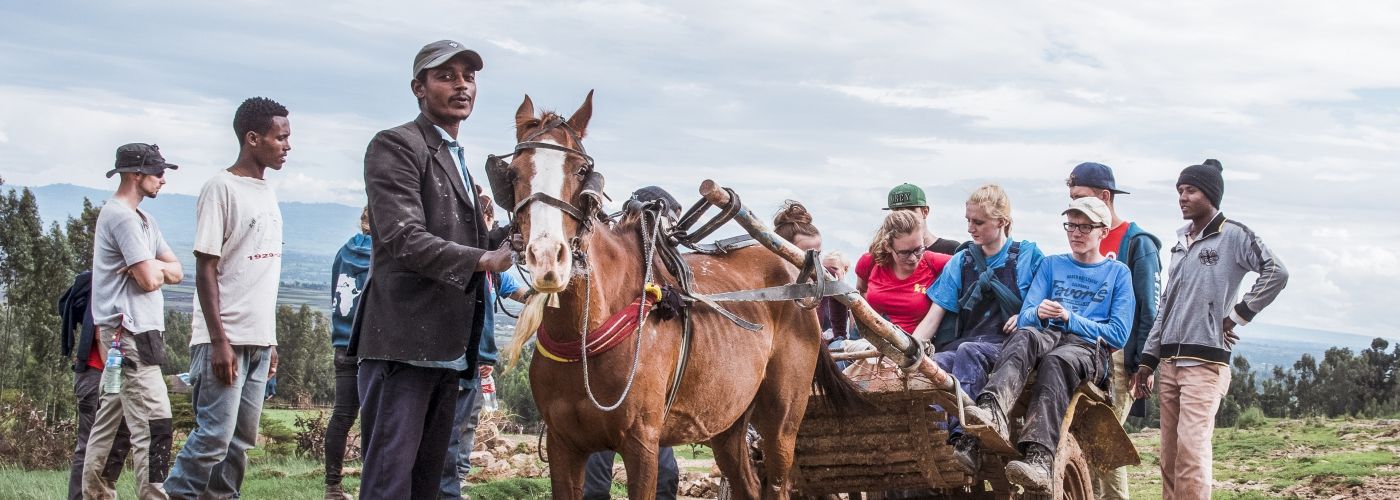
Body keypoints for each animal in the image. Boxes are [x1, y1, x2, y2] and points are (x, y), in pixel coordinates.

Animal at [498, 91, 856, 495]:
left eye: (579, 171)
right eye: (512, 174)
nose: (547, 257)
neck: (585, 332)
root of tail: (801, 276)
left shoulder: (641, 442)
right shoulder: (563, 445)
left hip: (783, 419)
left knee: (777, 479)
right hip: (728, 419)